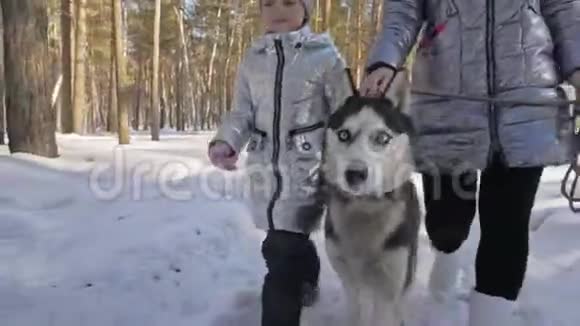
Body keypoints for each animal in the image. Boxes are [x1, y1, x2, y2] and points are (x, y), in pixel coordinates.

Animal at [322, 70, 422, 326]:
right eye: (344, 134)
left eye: (382, 138)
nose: (355, 174)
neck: (365, 207)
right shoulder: (349, 282)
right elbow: (355, 313)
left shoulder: (387, 289)